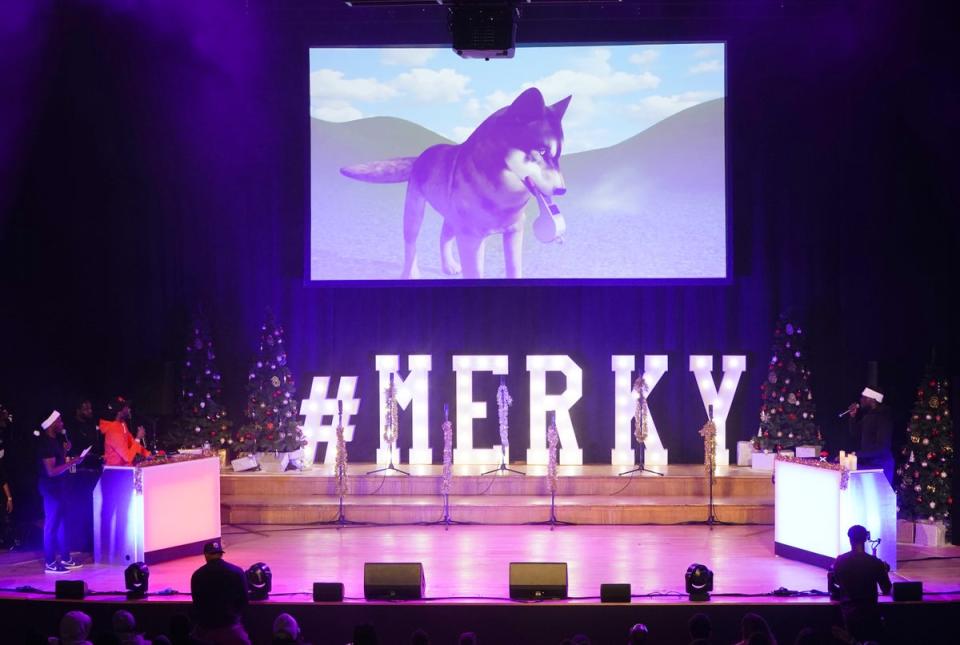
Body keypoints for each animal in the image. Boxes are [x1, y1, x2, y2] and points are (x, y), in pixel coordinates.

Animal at [340, 87, 568, 278]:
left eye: (557, 156)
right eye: (542, 151)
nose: (562, 190)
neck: (502, 198)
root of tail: (422, 155)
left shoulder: (513, 233)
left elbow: (514, 269)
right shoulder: (471, 239)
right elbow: (474, 273)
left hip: (451, 218)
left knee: (443, 237)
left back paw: (448, 266)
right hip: (415, 213)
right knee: (410, 243)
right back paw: (410, 274)